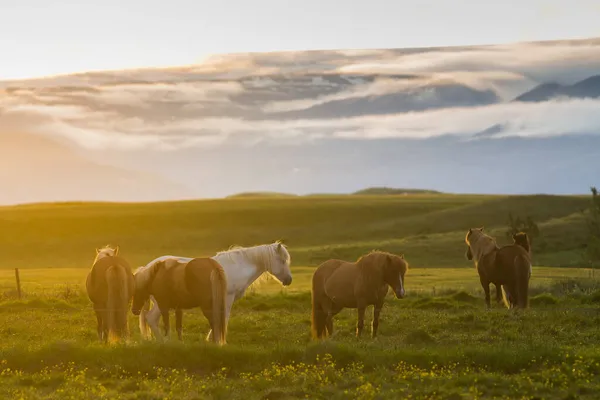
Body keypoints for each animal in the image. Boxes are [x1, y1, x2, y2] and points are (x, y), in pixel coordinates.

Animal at [138, 241, 292, 340]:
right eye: (282, 260)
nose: (289, 280)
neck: (237, 266)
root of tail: (148, 268)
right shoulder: (227, 298)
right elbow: (223, 316)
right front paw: (216, 338)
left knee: (151, 319)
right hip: (162, 302)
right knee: (151, 318)